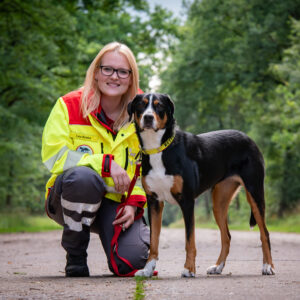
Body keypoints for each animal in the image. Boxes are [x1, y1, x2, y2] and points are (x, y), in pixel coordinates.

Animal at [127, 92, 276, 278]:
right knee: (226, 236)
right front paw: (148, 269)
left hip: (255, 193)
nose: (148, 117)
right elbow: (154, 241)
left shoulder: (187, 201)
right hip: (219, 203)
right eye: (141, 104)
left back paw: (268, 266)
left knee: (265, 233)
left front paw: (189, 269)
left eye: (159, 105)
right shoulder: (154, 202)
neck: (159, 149)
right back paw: (218, 266)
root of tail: (249, 138)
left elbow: (189, 241)